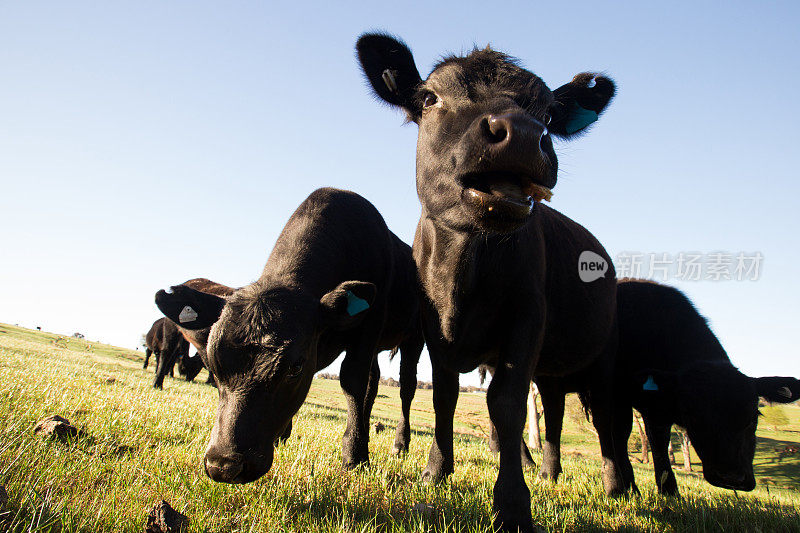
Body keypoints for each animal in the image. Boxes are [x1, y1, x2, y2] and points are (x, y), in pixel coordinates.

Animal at [152, 188, 422, 482]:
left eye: (294, 367)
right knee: (373, 384)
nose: (224, 465)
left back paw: (400, 443)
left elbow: (351, 382)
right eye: (212, 363)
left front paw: (354, 456)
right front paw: (283, 434)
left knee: (406, 389)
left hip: (415, 338)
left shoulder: (368, 328)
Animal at [360, 35, 620, 528]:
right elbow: (444, 397)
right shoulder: (432, 328)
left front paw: (513, 503)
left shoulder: (528, 316)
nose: (521, 133)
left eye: (549, 115)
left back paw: (600, 481)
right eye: (430, 98)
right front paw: (436, 471)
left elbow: (507, 403)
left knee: (594, 418)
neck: (461, 276)